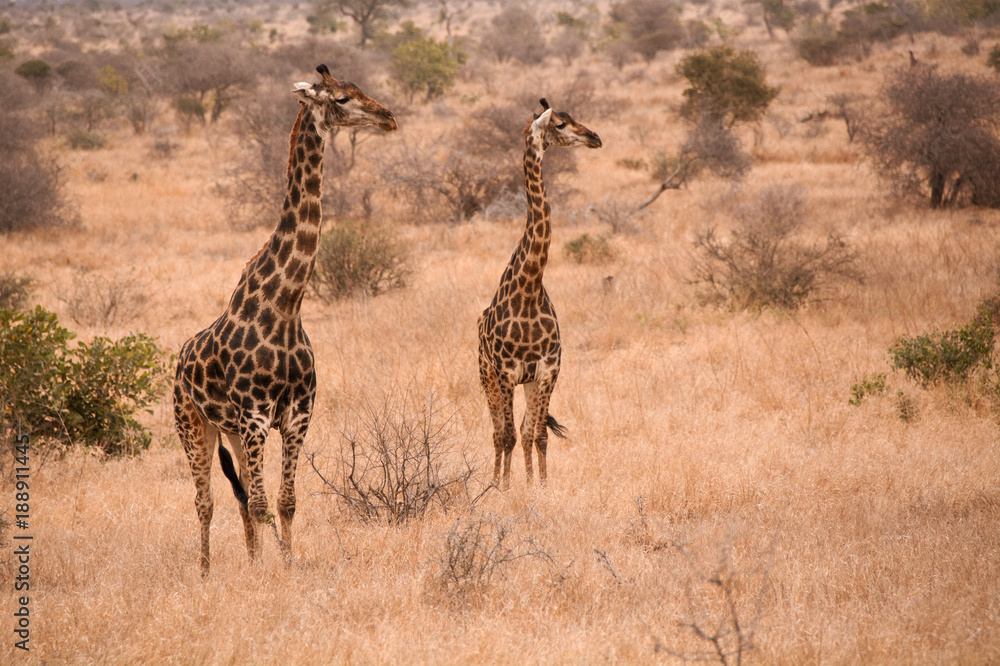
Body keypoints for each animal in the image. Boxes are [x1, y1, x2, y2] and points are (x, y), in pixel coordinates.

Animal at [173, 65, 397, 575]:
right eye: (341, 98)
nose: (389, 117)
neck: (286, 305)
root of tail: (177, 362)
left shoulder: (297, 415)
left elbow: (285, 501)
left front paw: (285, 565)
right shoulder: (256, 415)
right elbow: (261, 502)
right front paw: (271, 573)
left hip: (232, 432)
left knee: (238, 497)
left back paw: (251, 559)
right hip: (193, 424)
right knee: (205, 501)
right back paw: (204, 572)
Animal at [477, 99, 602, 489]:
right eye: (561, 124)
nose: (595, 138)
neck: (530, 286)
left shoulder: (548, 370)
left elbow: (537, 435)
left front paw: (540, 488)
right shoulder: (505, 372)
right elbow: (507, 436)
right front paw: (504, 490)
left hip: (527, 383)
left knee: (524, 429)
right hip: (485, 377)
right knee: (498, 432)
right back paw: (496, 481)